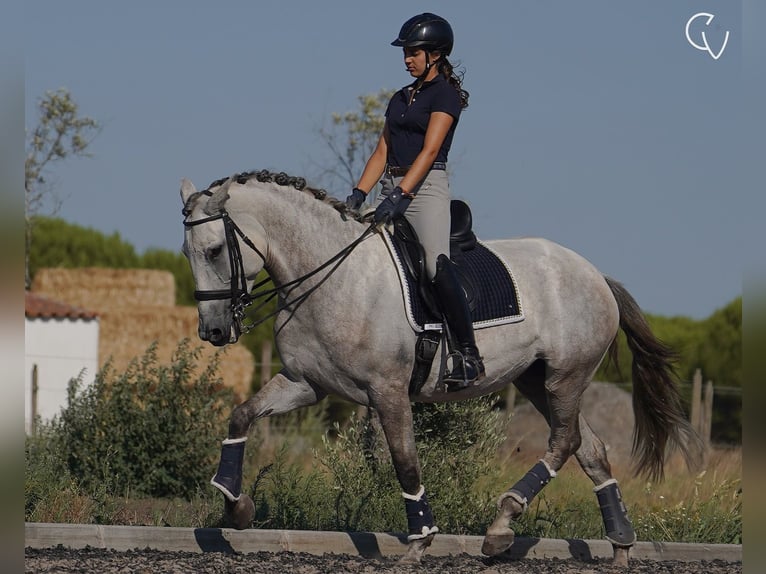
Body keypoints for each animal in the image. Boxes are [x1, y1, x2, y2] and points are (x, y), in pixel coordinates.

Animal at [182, 171, 708, 568]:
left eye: (214, 251)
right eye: (188, 254)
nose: (213, 331)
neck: (332, 277)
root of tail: (595, 274)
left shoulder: (388, 391)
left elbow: (404, 461)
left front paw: (421, 541)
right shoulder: (305, 384)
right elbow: (241, 415)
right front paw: (236, 506)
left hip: (566, 376)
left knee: (565, 442)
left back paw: (501, 526)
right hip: (536, 380)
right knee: (591, 449)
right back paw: (619, 545)